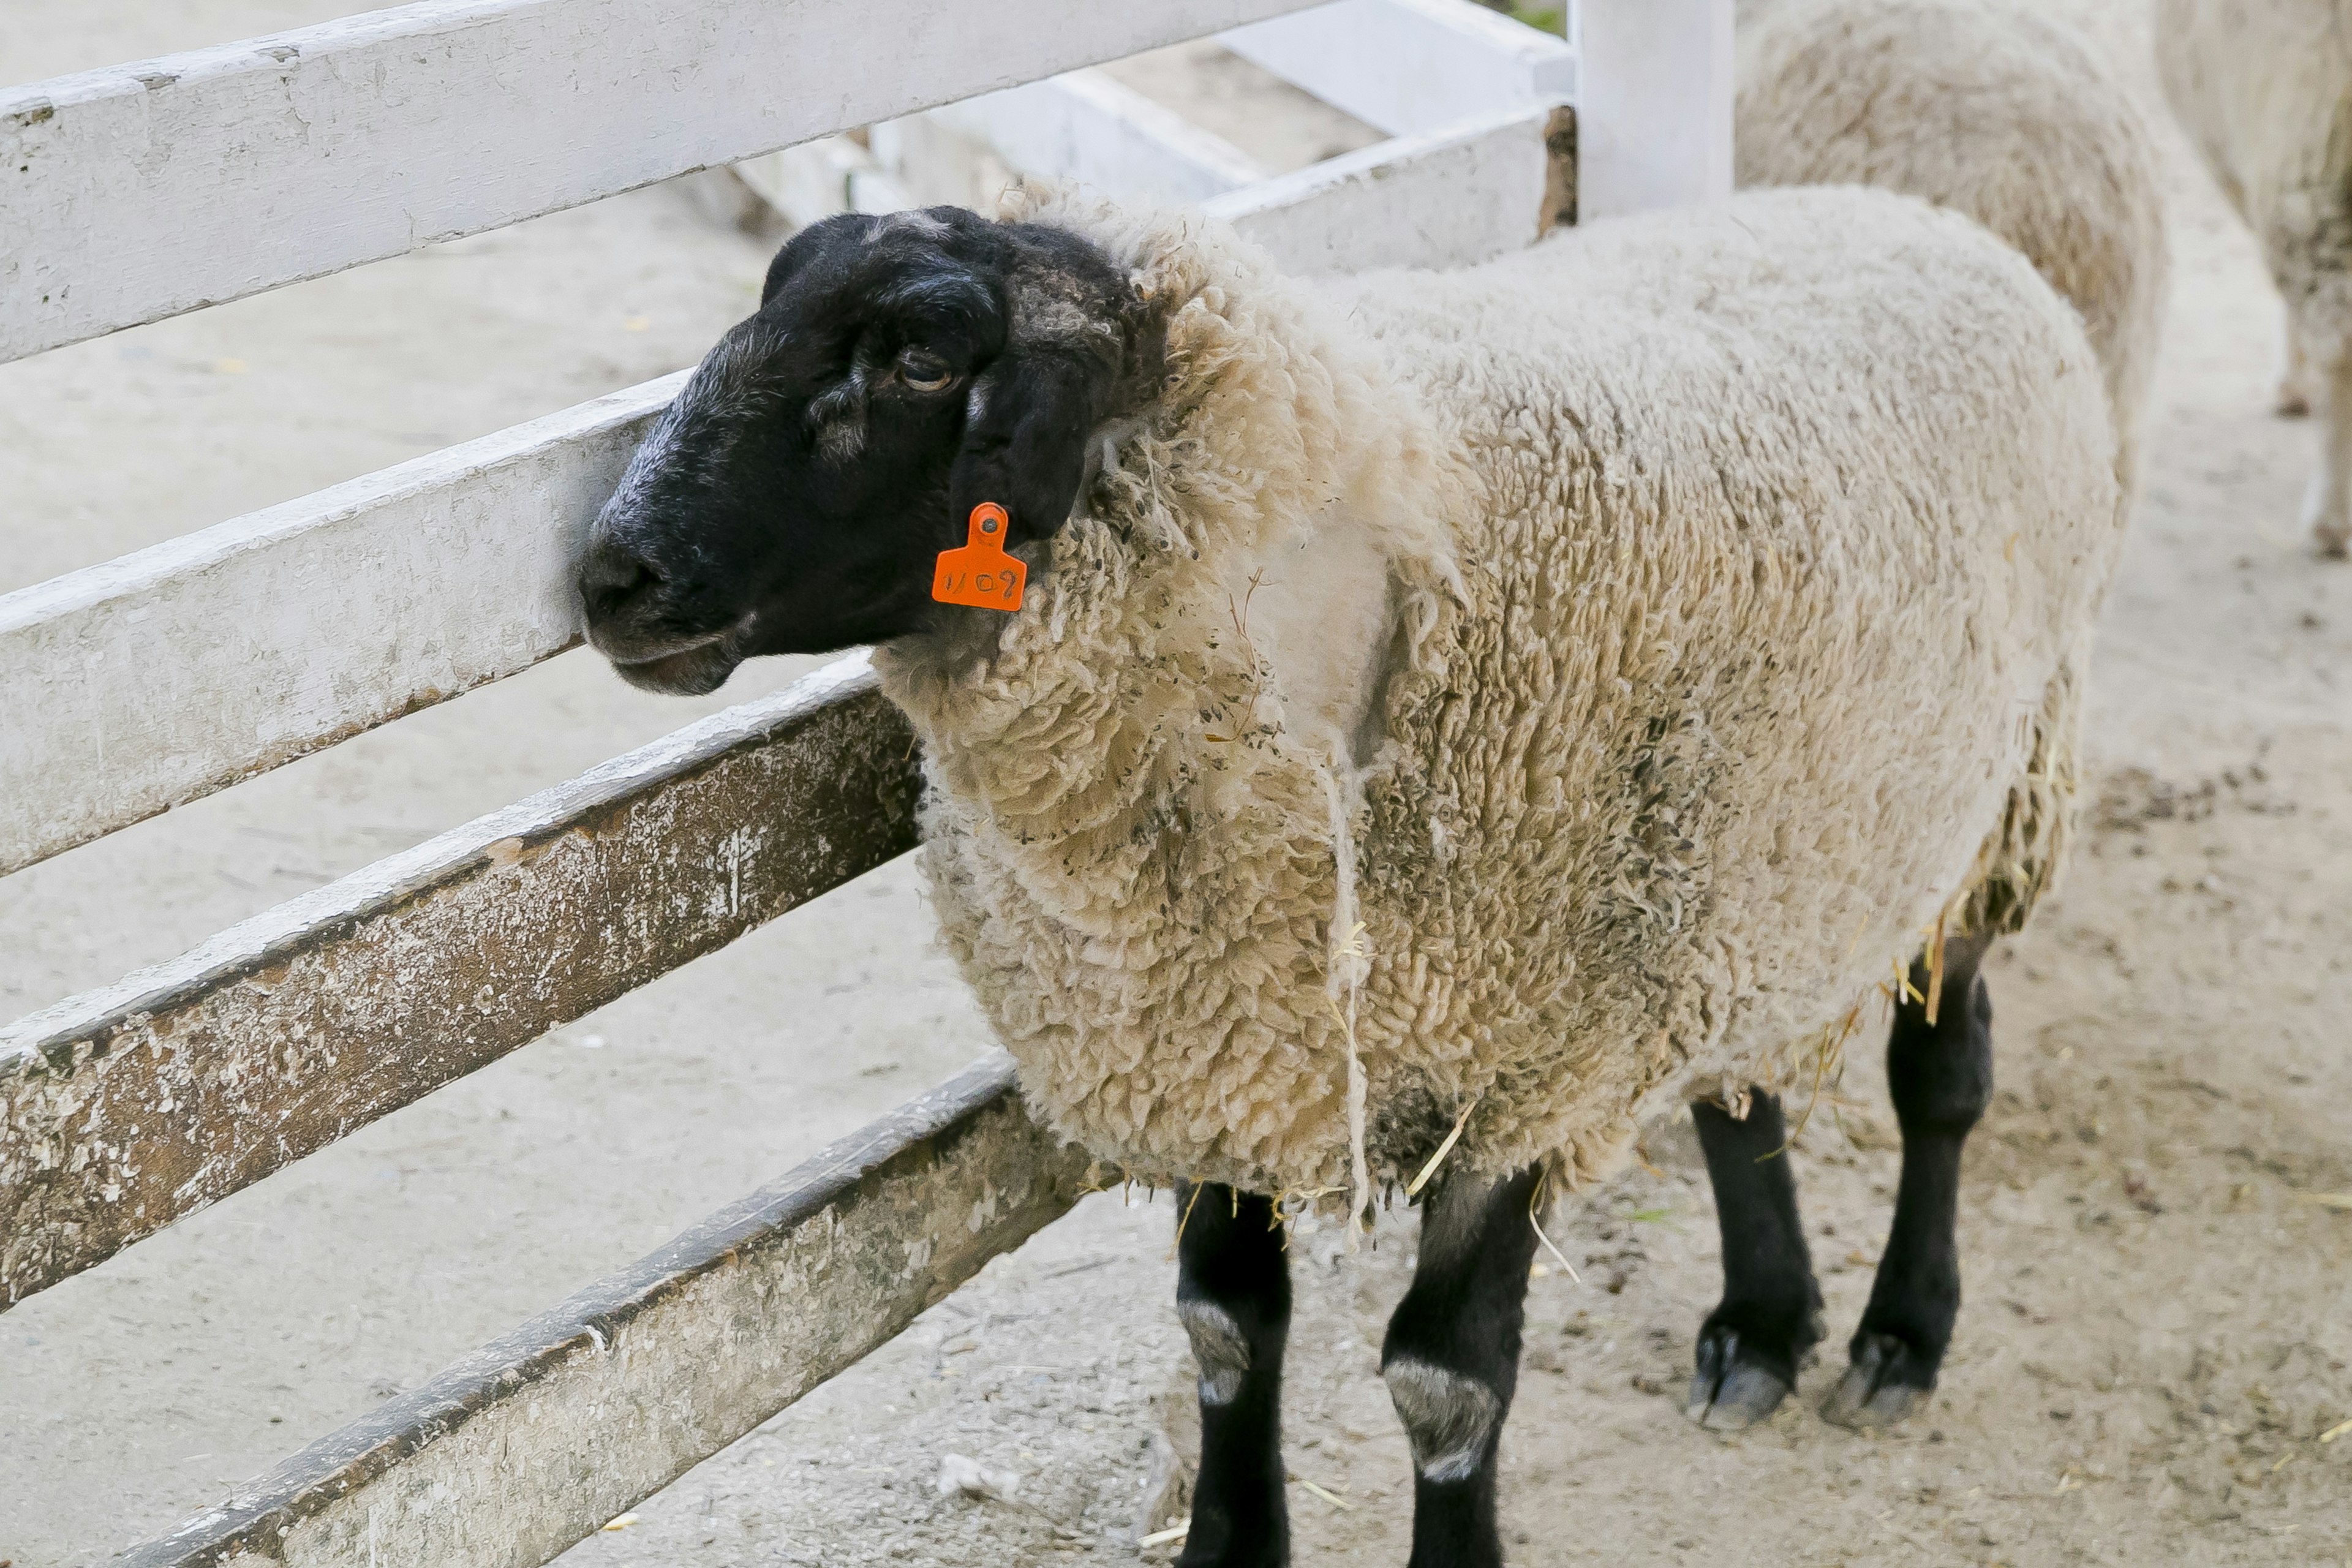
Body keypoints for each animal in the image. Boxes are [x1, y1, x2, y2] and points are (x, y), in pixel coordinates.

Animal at [578, 177, 2126, 1561]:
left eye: (919, 356)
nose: (610, 577)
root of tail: (1913, 210)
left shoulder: (1520, 1071)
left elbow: (1444, 1382)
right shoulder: (1219, 1042)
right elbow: (1222, 1325)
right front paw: (1226, 1543)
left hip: (1993, 789)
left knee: (1942, 1070)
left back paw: (1898, 1331)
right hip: (1745, 874)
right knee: (1733, 1086)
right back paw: (1762, 1325)